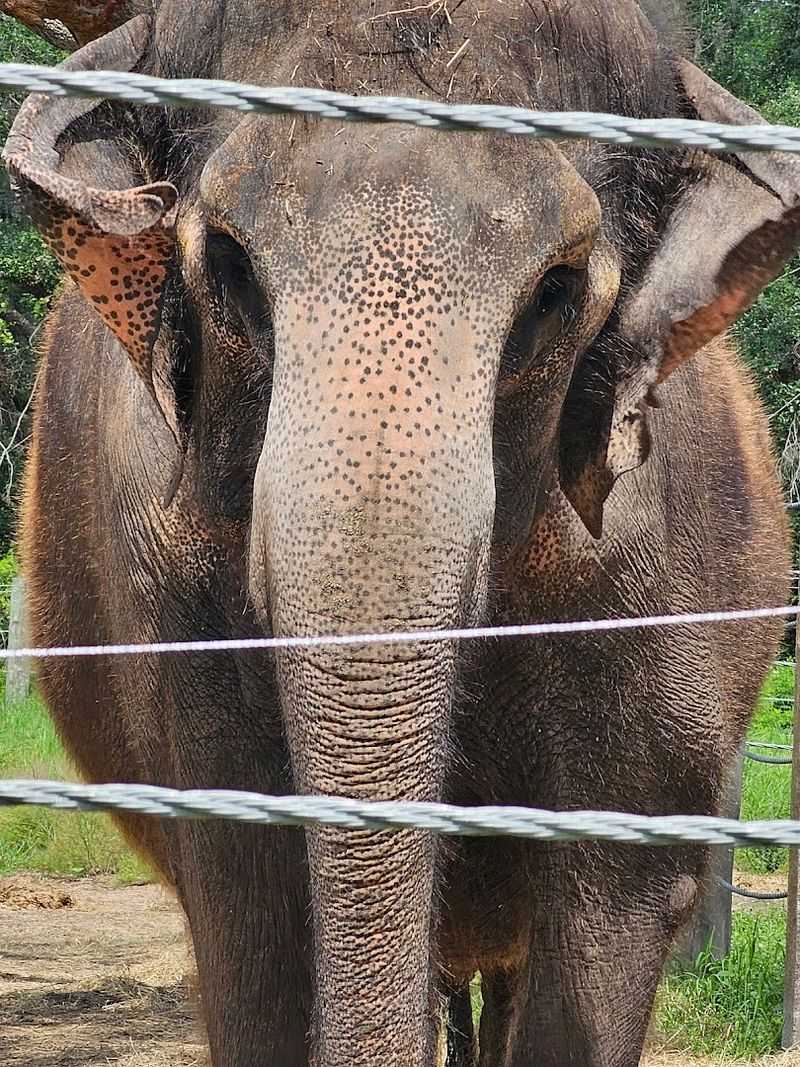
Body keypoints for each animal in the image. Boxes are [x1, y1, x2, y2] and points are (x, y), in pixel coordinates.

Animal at [3, 1, 798, 1065]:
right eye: (231, 264)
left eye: (555, 288)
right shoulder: (162, 591)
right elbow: (246, 899)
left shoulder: (661, 586)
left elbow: (609, 911)